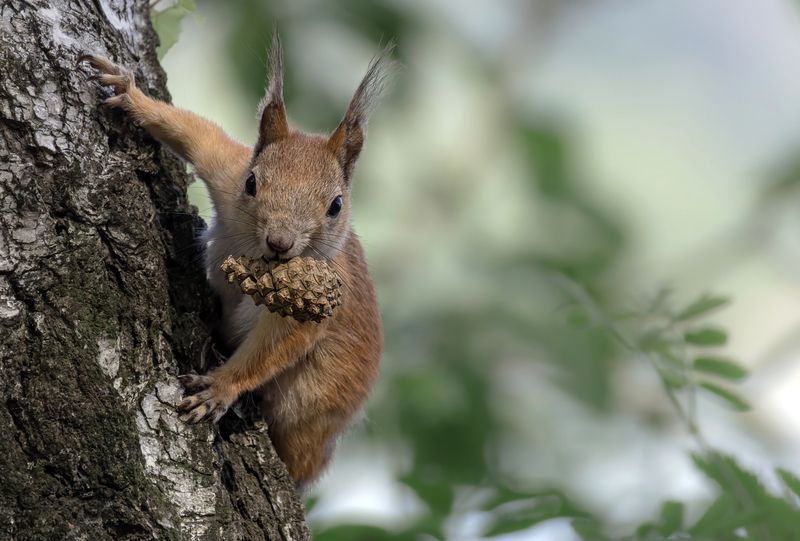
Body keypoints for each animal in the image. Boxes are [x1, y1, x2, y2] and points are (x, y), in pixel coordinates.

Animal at [79, 35, 388, 489]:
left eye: (336, 206)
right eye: (252, 182)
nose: (280, 242)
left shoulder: (318, 305)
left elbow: (276, 347)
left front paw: (221, 388)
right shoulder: (226, 169)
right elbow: (194, 132)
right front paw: (129, 93)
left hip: (310, 405)